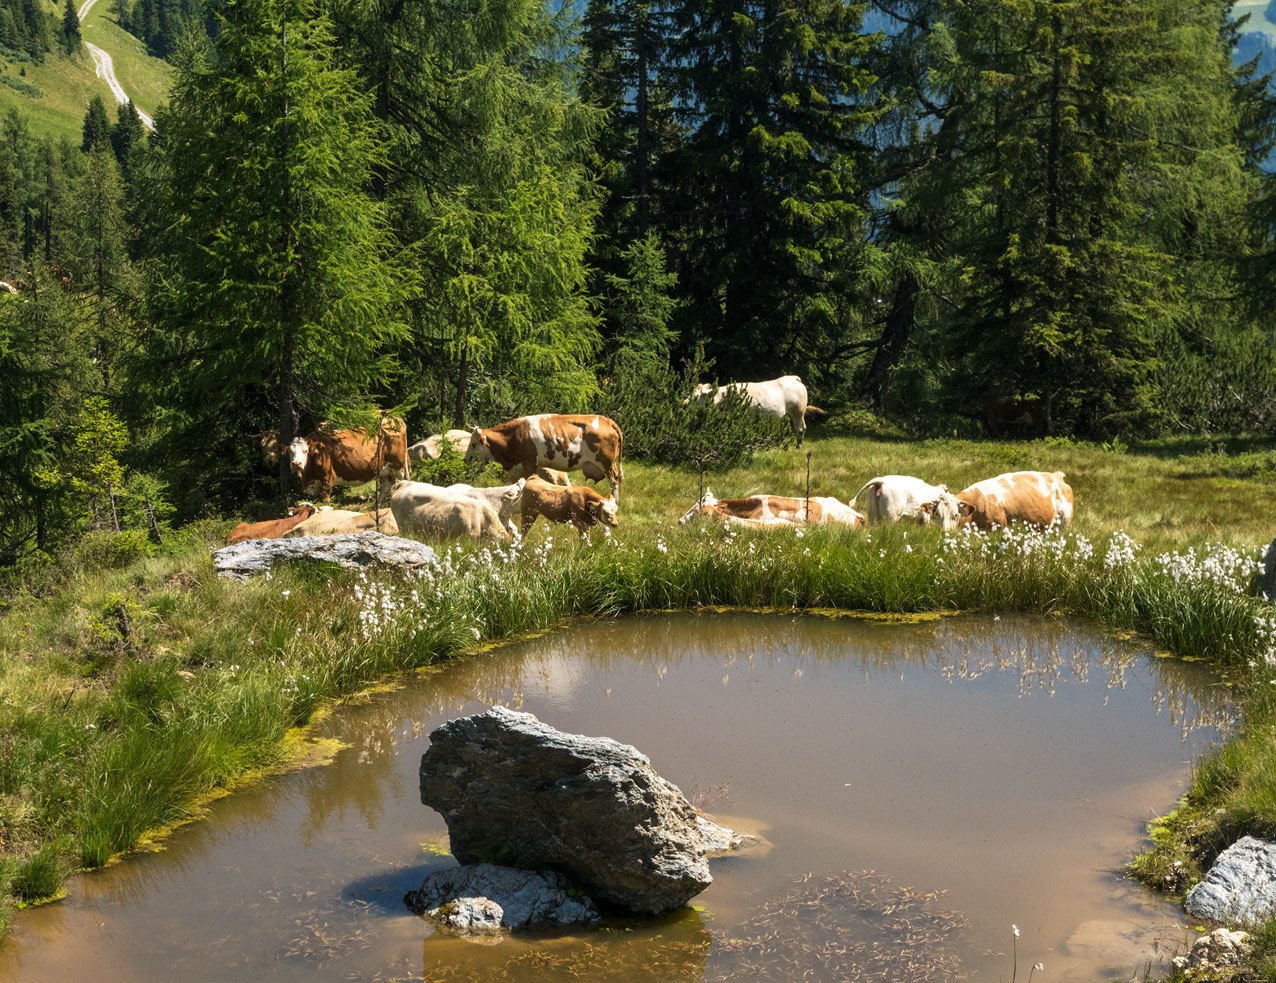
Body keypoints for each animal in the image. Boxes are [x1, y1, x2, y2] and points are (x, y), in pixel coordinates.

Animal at [469, 416, 627, 505]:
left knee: (614, 481)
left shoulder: (528, 462)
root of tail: (607, 420)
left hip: (607, 464)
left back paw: (616, 502)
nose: (467, 459)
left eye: (474, 444)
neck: (514, 435)